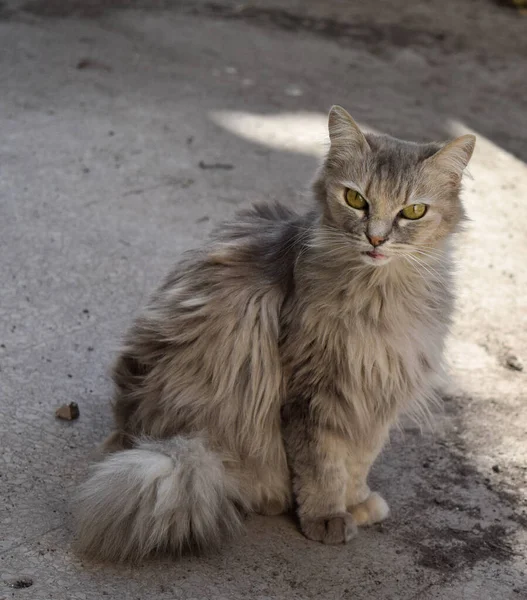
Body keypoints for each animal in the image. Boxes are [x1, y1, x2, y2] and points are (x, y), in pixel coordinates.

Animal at [76, 106, 476, 564]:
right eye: (356, 199)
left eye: (413, 211)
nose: (376, 238)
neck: (383, 295)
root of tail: (143, 436)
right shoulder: (314, 391)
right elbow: (323, 465)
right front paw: (328, 516)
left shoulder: (377, 392)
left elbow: (359, 460)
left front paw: (356, 501)